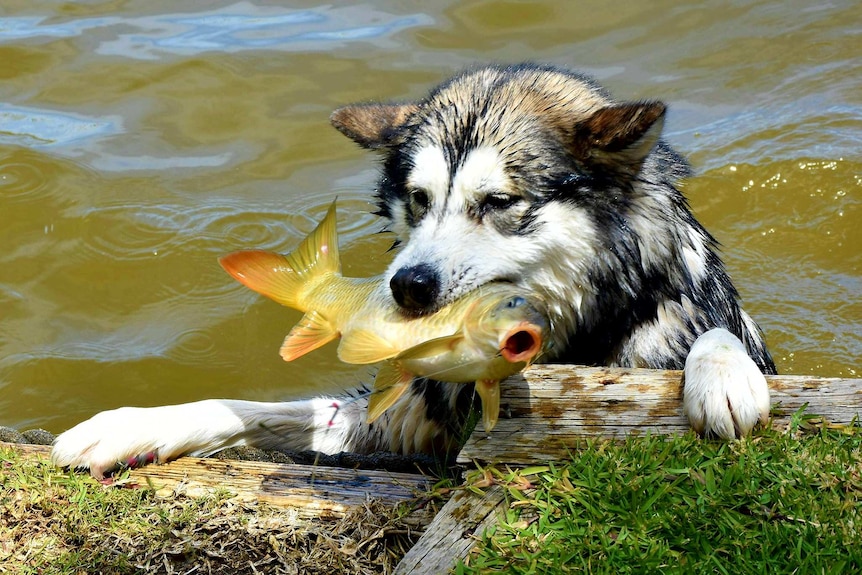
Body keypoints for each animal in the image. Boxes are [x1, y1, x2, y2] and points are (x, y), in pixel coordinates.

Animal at [50, 63, 776, 480]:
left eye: (498, 203)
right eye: (418, 199)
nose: (408, 286)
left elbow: (718, 335)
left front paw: (723, 373)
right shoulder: (388, 425)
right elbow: (246, 408)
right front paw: (129, 425)